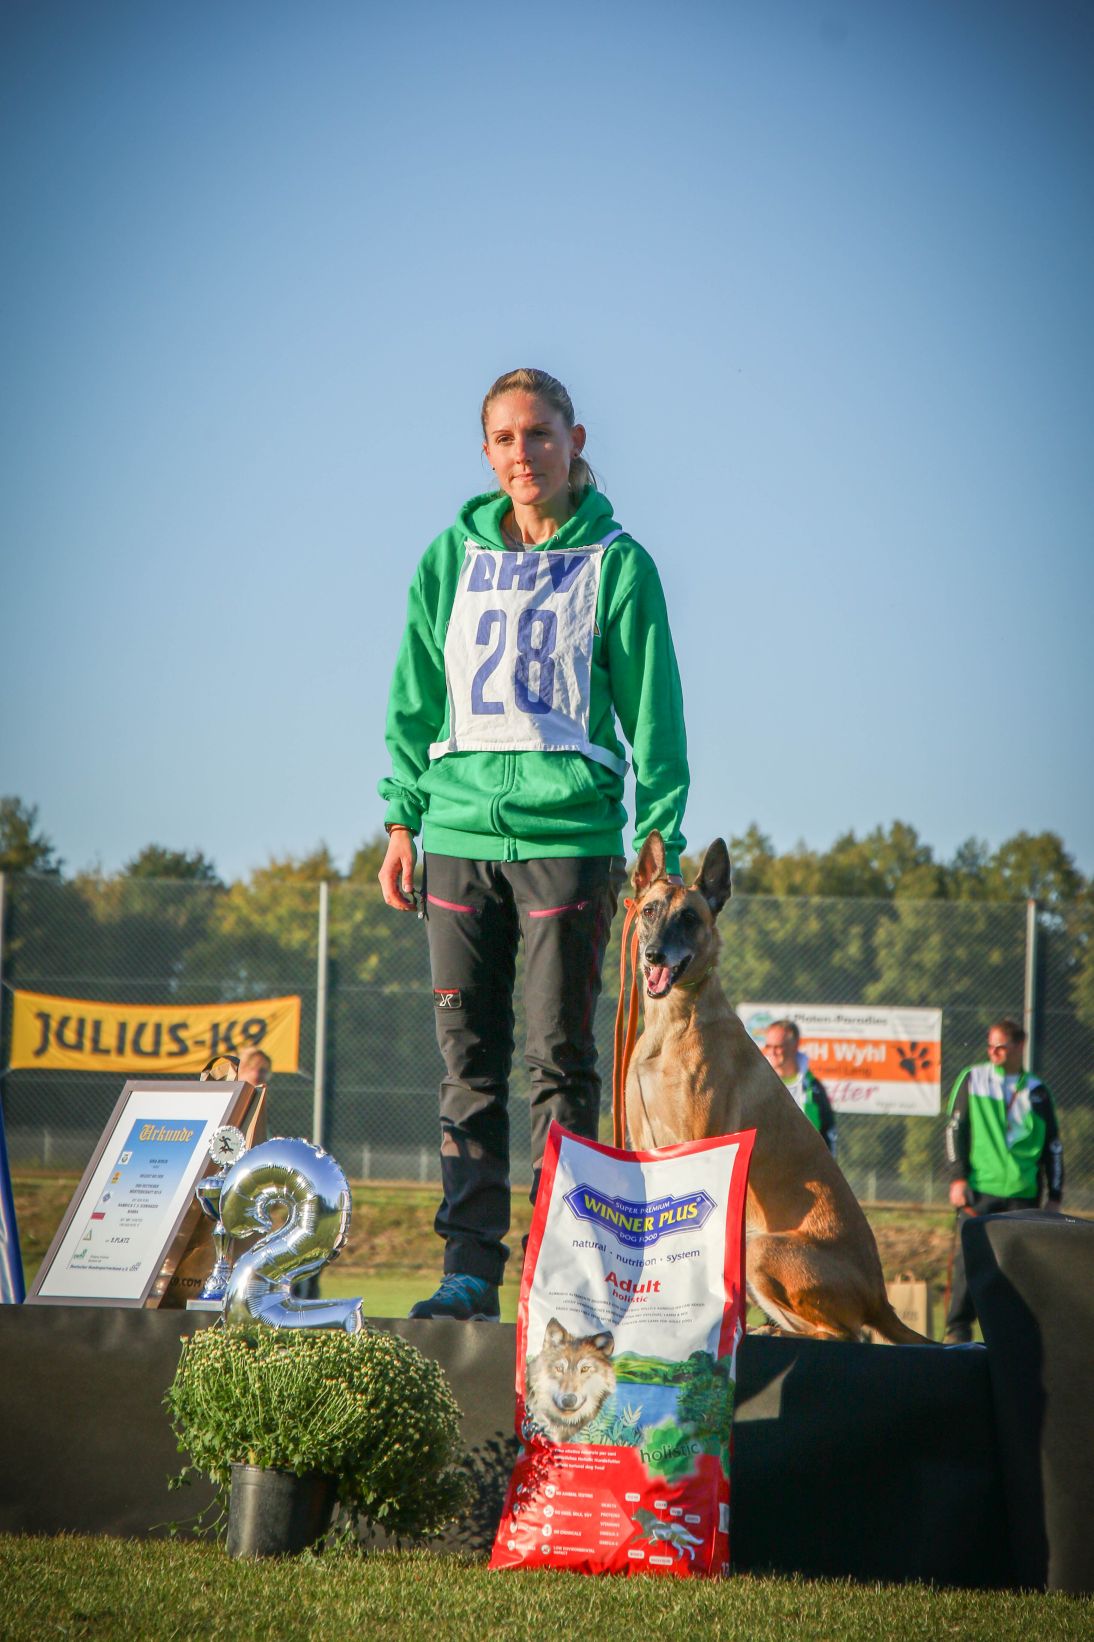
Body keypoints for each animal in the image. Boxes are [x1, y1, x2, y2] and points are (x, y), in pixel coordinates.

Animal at [624, 831, 929, 1344]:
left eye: (689, 918)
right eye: (649, 911)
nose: (654, 956)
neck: (672, 1026)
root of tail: (881, 1297)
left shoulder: (700, 1142)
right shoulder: (647, 1145)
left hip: (763, 1248)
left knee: (844, 1335)